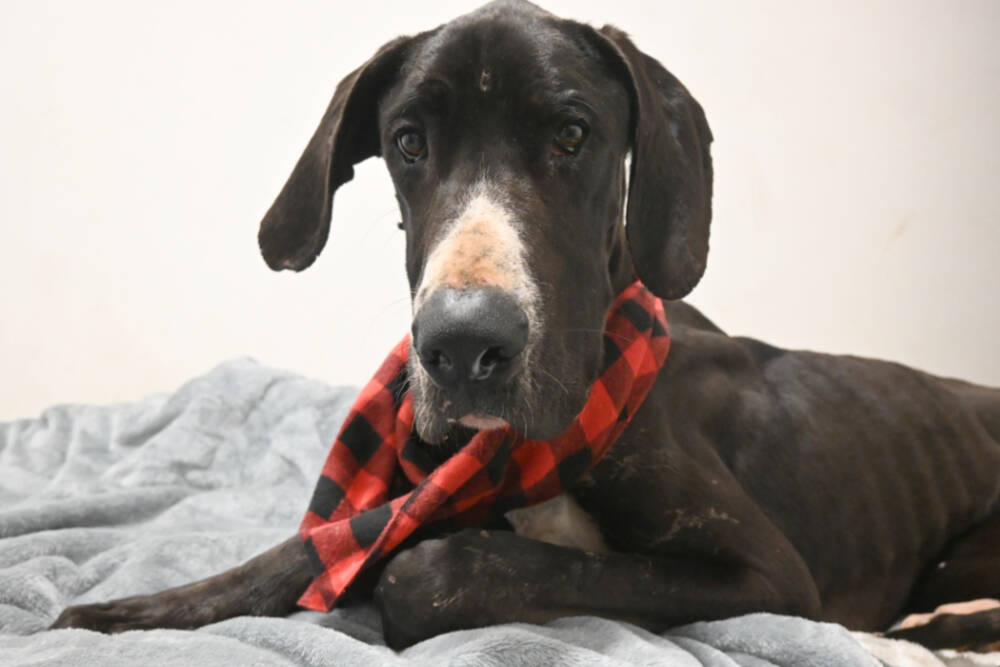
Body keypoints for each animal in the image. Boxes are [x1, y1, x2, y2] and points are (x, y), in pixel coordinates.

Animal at [50, 0, 1000, 648]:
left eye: (572, 134)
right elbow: (314, 545)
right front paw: (128, 613)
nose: (462, 345)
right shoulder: (416, 492)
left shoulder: (765, 574)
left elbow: (489, 566)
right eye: (408, 141)